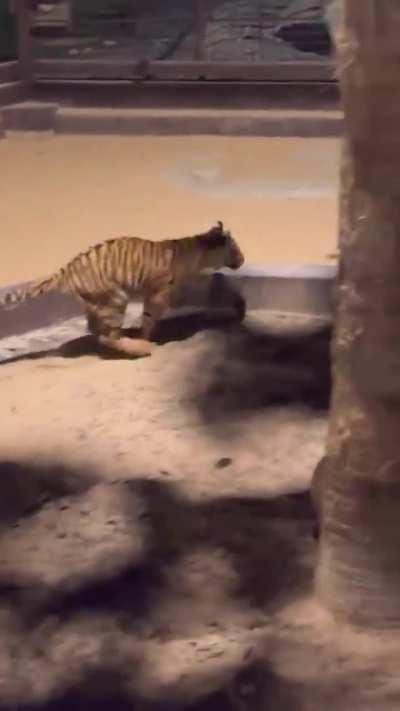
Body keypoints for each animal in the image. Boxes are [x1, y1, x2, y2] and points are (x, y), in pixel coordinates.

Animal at [0, 221, 245, 358]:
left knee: (98, 331)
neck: (202, 252)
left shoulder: (196, 283)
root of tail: (67, 269)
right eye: (235, 248)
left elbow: (223, 287)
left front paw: (239, 308)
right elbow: (149, 318)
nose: (243, 259)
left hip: (98, 302)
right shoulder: (159, 294)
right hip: (116, 298)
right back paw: (140, 348)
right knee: (107, 336)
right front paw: (145, 337)